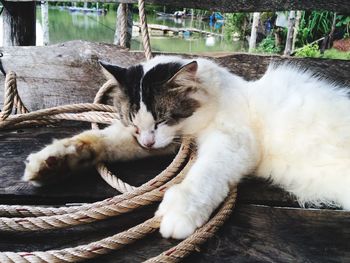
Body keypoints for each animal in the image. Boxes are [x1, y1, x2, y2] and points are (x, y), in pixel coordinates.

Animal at [22, 56, 350, 241]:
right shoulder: (169, 140)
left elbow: (202, 178)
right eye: (134, 122)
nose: (147, 141)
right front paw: (51, 162)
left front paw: (179, 212)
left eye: (162, 119)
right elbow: (104, 140)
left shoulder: (231, 142)